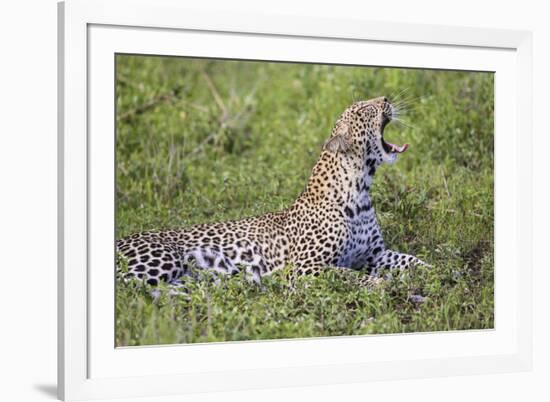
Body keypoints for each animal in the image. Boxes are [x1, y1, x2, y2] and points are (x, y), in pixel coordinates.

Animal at [117, 95, 432, 288]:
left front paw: (433, 270)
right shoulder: (306, 267)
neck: (361, 190)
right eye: (365, 110)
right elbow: (346, 274)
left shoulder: (374, 254)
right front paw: (379, 284)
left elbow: (409, 259)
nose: (386, 99)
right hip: (161, 261)